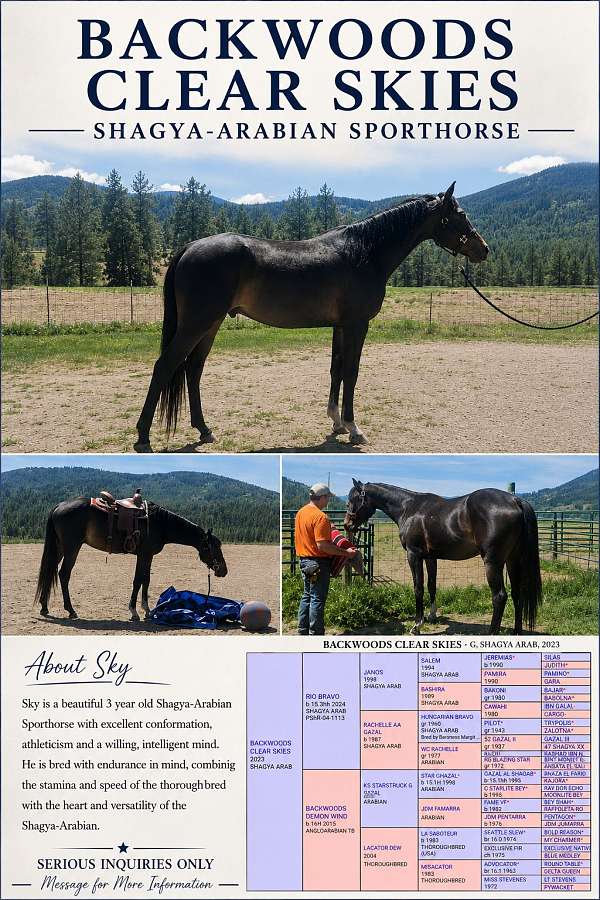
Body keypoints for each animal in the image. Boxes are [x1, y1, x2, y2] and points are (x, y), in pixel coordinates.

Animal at [35, 499, 227, 622]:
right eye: (213, 547)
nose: (223, 570)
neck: (159, 523)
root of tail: (59, 506)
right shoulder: (144, 555)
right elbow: (138, 580)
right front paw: (134, 612)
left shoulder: (148, 556)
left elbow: (146, 580)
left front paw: (147, 611)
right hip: (72, 548)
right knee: (64, 574)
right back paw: (71, 610)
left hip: (59, 548)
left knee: (50, 570)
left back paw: (44, 607)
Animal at [134, 182, 488, 451]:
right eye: (459, 215)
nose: (483, 249)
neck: (365, 252)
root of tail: (189, 247)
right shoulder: (357, 324)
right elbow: (352, 372)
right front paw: (354, 427)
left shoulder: (340, 326)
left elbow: (337, 370)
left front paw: (336, 422)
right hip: (196, 324)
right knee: (165, 366)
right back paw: (143, 437)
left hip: (211, 324)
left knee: (193, 371)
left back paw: (204, 430)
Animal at [344, 479, 542, 635]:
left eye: (351, 500)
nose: (347, 525)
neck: (408, 508)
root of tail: (515, 500)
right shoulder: (430, 557)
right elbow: (431, 585)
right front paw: (431, 616)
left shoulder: (413, 555)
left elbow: (418, 588)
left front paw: (417, 625)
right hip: (513, 560)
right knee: (517, 593)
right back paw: (517, 632)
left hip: (493, 562)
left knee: (499, 596)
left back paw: (492, 633)